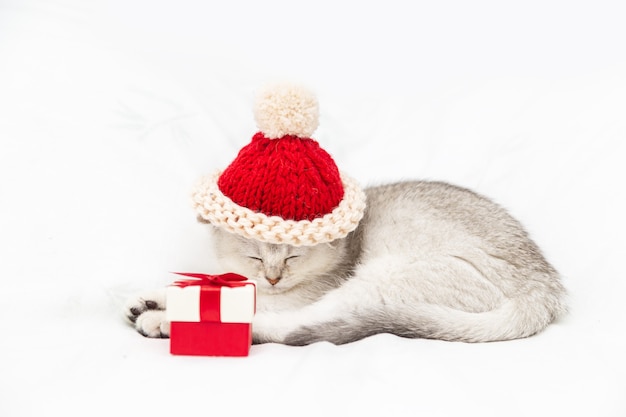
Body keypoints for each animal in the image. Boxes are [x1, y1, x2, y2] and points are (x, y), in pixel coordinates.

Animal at [124, 180, 564, 342]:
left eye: (293, 256)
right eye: (254, 254)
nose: (273, 277)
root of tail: (543, 287)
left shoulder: (300, 293)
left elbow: (235, 296)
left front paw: (161, 309)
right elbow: (214, 282)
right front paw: (148, 297)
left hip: (384, 279)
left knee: (293, 327)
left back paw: (166, 324)